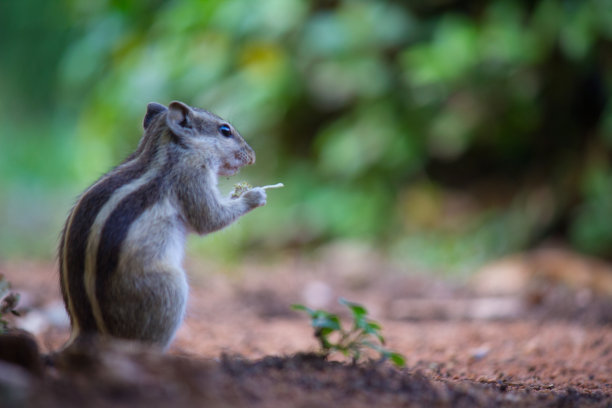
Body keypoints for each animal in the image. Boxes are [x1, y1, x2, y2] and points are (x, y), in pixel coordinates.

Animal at [58, 100, 266, 350]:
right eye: (225, 130)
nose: (253, 156)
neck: (163, 149)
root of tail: (87, 333)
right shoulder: (192, 176)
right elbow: (210, 218)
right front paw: (254, 195)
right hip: (169, 290)